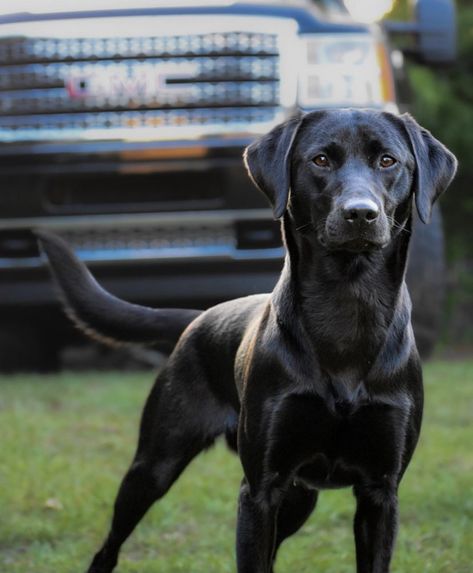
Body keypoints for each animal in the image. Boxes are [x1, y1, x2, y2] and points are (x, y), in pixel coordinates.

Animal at [38, 108, 456, 572]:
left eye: (387, 161)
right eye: (320, 160)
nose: (360, 214)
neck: (348, 306)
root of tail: (201, 316)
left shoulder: (379, 493)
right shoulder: (260, 489)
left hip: (299, 498)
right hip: (154, 467)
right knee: (110, 544)